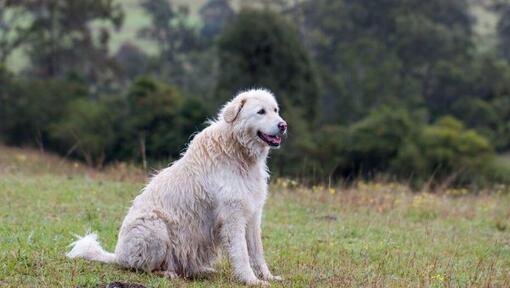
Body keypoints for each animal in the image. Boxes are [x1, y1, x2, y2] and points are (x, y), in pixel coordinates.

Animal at [67, 88, 288, 286]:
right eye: (261, 111)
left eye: (275, 110)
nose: (283, 125)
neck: (238, 151)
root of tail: (118, 256)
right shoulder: (233, 216)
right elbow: (242, 253)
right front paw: (251, 280)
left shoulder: (253, 215)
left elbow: (257, 252)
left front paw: (268, 277)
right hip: (155, 227)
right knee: (143, 268)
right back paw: (167, 274)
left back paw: (202, 270)